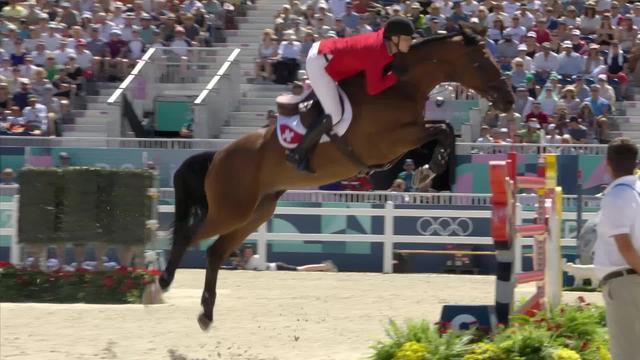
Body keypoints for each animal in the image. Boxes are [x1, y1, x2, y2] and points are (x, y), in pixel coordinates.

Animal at [160, 29, 516, 330]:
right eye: (479, 62)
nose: (509, 99)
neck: (400, 86)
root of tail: (218, 155)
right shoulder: (390, 140)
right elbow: (442, 129)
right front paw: (431, 167)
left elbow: (445, 130)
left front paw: (427, 169)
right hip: (231, 210)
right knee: (188, 236)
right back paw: (162, 282)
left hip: (255, 213)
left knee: (215, 252)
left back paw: (206, 313)